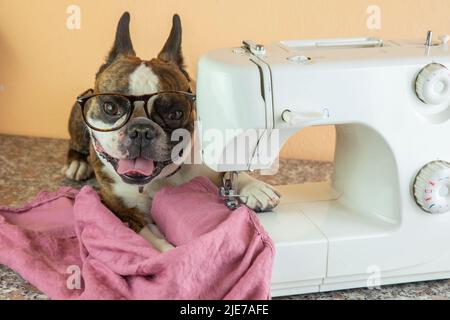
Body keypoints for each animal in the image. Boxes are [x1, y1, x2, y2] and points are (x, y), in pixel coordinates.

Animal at [62, 12, 282, 251]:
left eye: (175, 114)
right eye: (110, 108)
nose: (141, 130)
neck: (157, 180)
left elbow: (229, 172)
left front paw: (254, 187)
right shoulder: (123, 212)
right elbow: (150, 240)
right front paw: (172, 253)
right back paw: (77, 164)